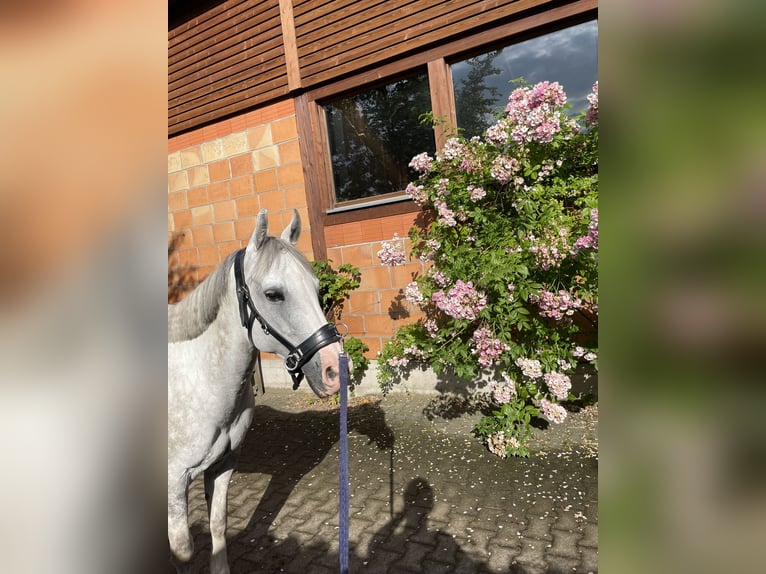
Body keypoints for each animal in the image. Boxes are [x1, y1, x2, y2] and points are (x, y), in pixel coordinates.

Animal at [171, 209, 344, 572]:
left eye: (317, 288)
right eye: (273, 294)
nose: (334, 370)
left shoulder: (223, 464)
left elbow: (217, 525)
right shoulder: (172, 485)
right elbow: (182, 551)